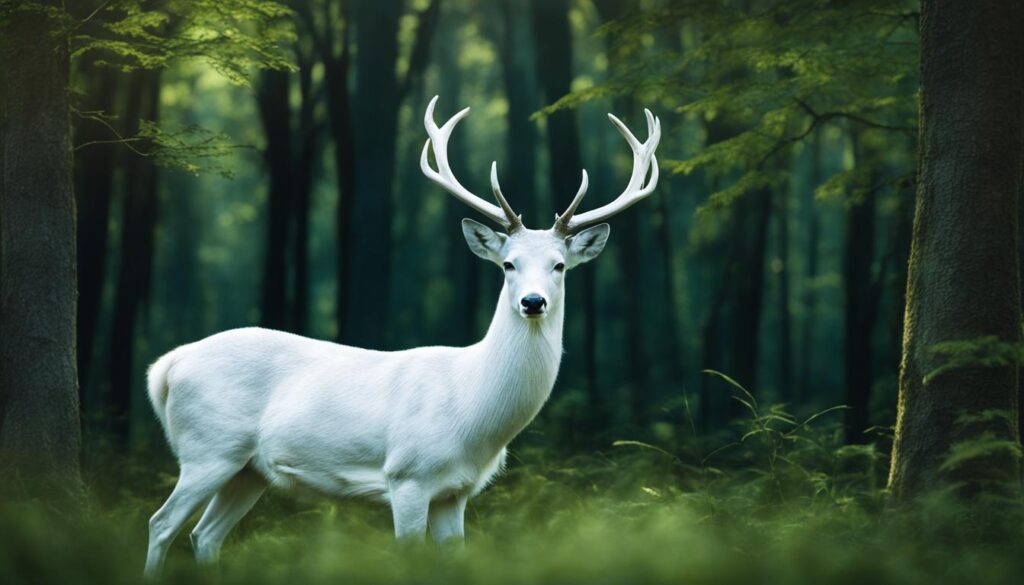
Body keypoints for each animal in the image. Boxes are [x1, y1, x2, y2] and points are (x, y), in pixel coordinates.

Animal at [142, 95, 660, 577]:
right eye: (508, 264)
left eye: (559, 266)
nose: (533, 302)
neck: (471, 409)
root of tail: (167, 366)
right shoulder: (408, 474)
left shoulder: (456, 492)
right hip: (207, 448)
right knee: (161, 523)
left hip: (247, 470)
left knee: (205, 534)